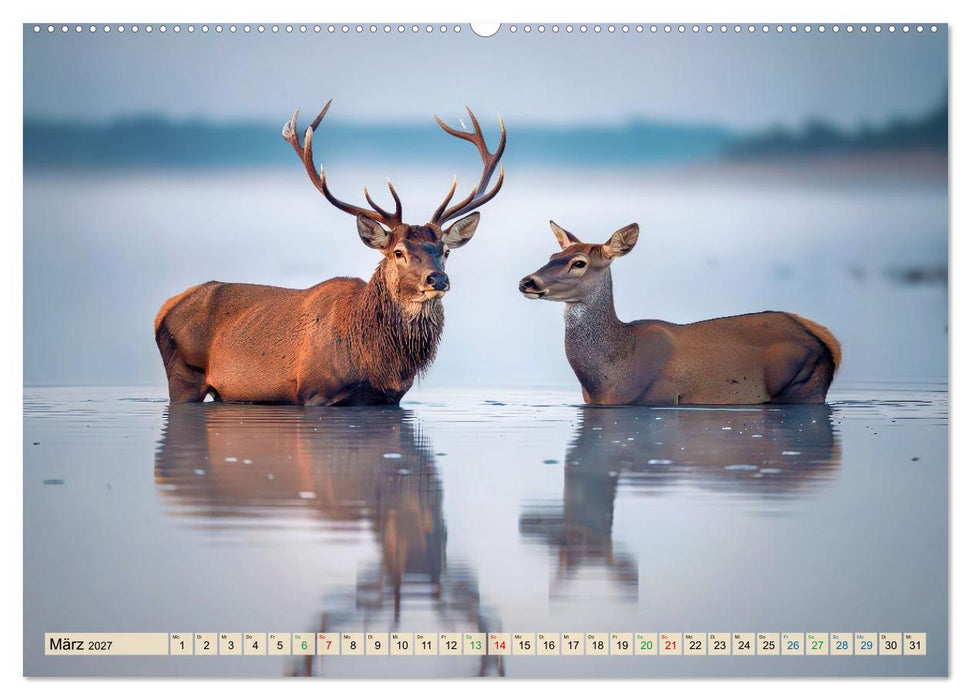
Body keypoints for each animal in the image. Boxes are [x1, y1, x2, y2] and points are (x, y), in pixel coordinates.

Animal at [154, 100, 505, 405]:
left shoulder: (389, 400)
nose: (438, 279)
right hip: (184, 374)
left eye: (444, 251)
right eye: (399, 252)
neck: (375, 361)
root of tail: (163, 310)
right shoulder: (315, 392)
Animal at [519, 221, 842, 405]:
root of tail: (829, 344)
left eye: (579, 263)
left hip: (803, 384)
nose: (527, 281)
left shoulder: (660, 396)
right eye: (552, 256)